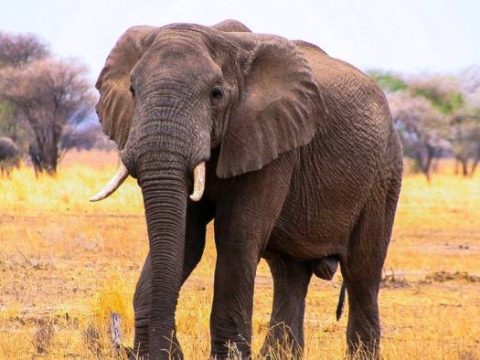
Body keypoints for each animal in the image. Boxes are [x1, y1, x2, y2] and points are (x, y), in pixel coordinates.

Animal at [89, 19, 402, 360]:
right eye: (133, 90)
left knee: (362, 271)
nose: (161, 352)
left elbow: (236, 236)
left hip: (384, 174)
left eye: (216, 94)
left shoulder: (272, 143)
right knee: (290, 273)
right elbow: (187, 238)